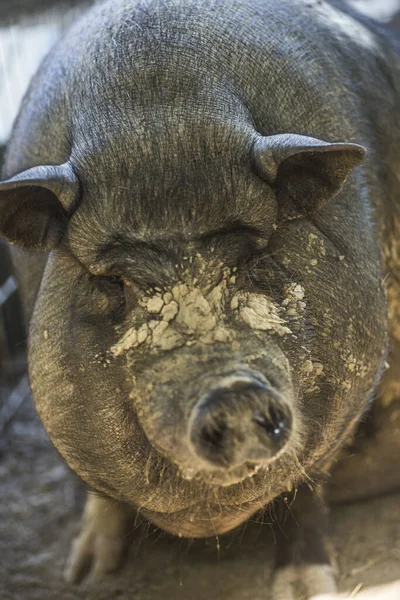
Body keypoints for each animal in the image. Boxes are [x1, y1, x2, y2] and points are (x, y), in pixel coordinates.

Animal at [0, 0, 398, 596]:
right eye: (115, 281)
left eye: (254, 255)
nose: (231, 392)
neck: (162, 123)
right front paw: (86, 576)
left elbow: (305, 485)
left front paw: (306, 587)